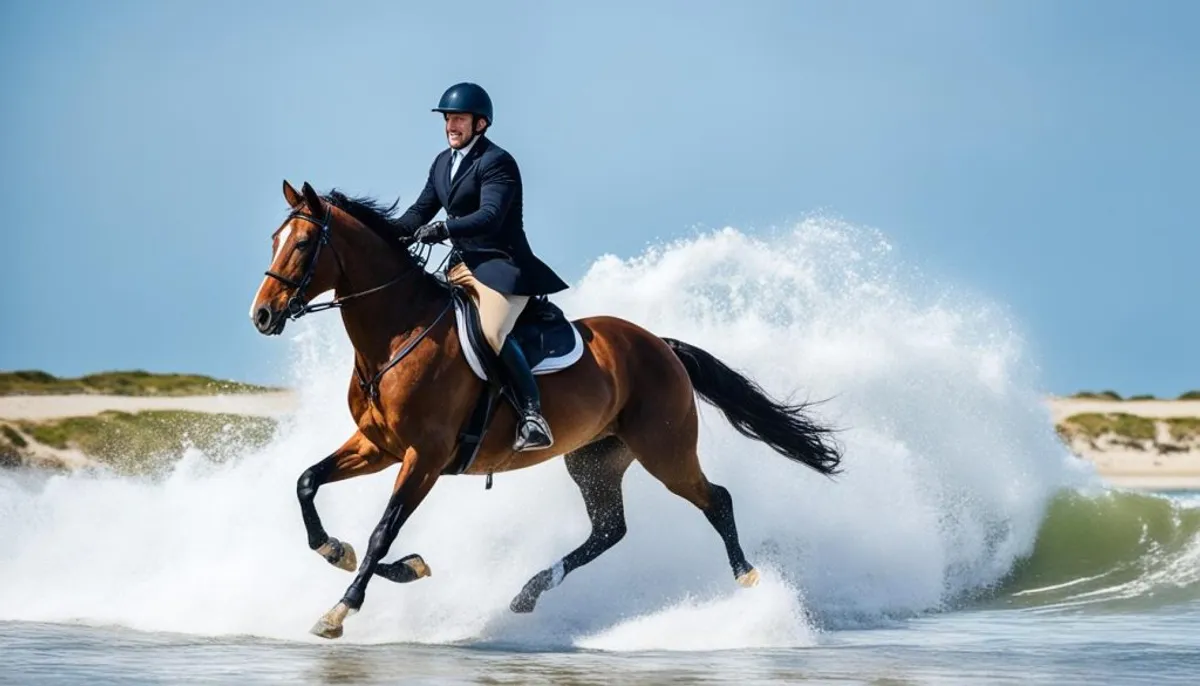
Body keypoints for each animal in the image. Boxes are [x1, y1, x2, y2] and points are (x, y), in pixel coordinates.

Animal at [248, 181, 840, 638]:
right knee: (609, 531)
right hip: (595, 458)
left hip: (665, 451)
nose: (262, 316)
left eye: (304, 244)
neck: (399, 332)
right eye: (274, 240)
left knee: (716, 500)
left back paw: (749, 580)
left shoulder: (425, 457)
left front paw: (340, 609)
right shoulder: (380, 447)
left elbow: (382, 530)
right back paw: (530, 592)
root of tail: (661, 345)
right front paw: (349, 554)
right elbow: (307, 484)